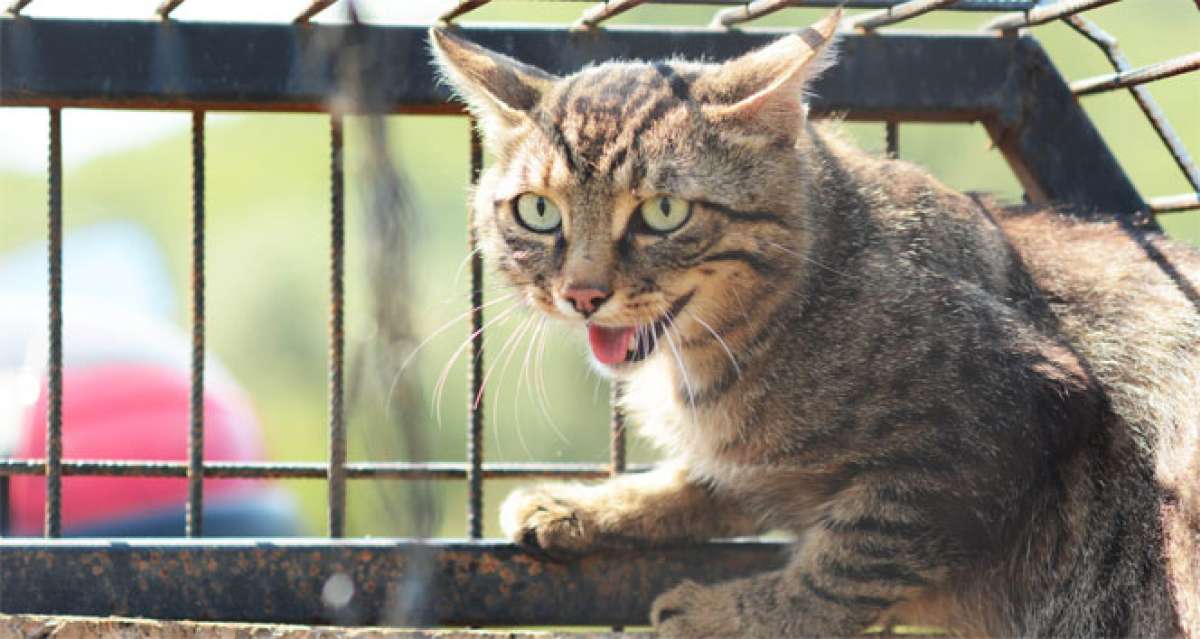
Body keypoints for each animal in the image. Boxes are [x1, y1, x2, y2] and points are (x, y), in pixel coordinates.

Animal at [432, 8, 1200, 634]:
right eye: (538, 211)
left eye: (663, 212)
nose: (582, 293)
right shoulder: (748, 460)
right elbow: (706, 480)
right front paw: (589, 505)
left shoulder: (1014, 414)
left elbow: (851, 557)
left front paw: (732, 616)